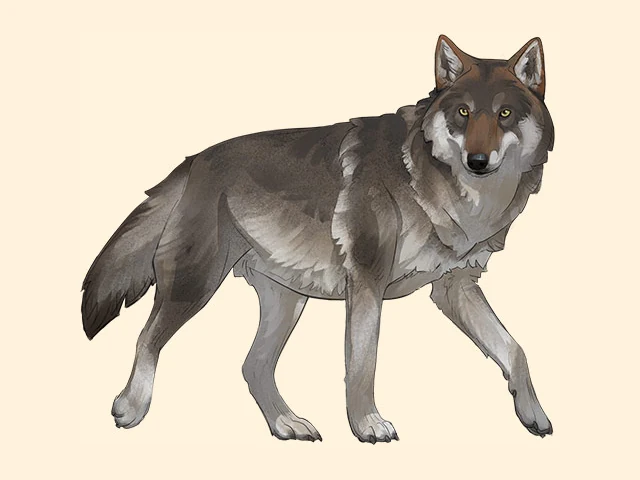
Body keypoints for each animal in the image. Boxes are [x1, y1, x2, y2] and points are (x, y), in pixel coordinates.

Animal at [82, 35, 555, 443]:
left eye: (504, 115)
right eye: (463, 114)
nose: (478, 161)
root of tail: (195, 159)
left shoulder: (455, 287)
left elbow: (516, 351)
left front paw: (534, 414)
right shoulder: (367, 283)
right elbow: (363, 364)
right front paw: (368, 425)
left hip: (287, 301)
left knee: (252, 366)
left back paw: (286, 424)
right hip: (195, 284)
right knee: (147, 338)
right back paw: (130, 407)